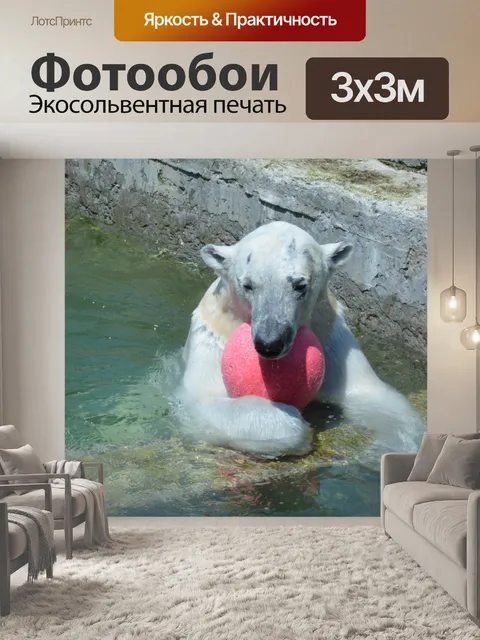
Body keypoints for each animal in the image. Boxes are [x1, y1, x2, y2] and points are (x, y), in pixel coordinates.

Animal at [177, 220, 425, 459]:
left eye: (300, 285)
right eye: (247, 285)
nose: (270, 343)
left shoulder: (331, 339)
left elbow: (370, 395)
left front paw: (393, 445)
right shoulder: (213, 339)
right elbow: (204, 402)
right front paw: (293, 424)